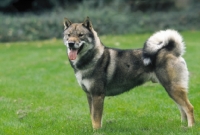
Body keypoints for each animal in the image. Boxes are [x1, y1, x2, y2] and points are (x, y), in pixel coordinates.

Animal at [62, 17, 194, 130]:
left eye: (80, 35)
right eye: (69, 35)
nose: (71, 43)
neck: (92, 59)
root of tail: (172, 51)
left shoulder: (97, 95)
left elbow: (96, 118)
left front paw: (96, 131)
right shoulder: (90, 95)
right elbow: (93, 116)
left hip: (173, 88)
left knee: (189, 108)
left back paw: (190, 127)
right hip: (171, 90)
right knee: (182, 109)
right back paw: (182, 126)